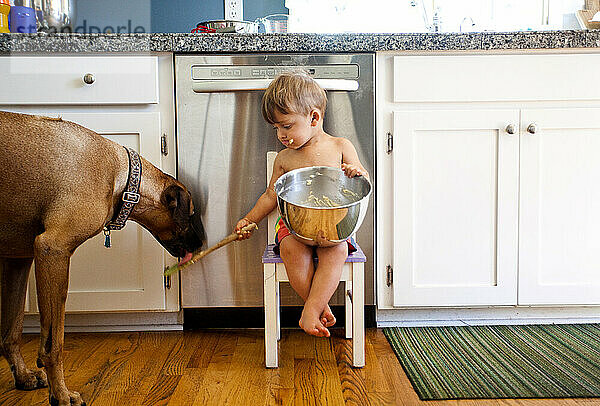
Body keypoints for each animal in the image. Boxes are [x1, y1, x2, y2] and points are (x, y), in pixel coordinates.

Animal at [0, 109, 205, 404]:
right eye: (190, 214)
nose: (201, 243)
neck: (120, 176)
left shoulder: (18, 258)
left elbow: (12, 330)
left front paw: (24, 376)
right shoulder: (52, 250)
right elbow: (54, 344)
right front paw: (61, 395)